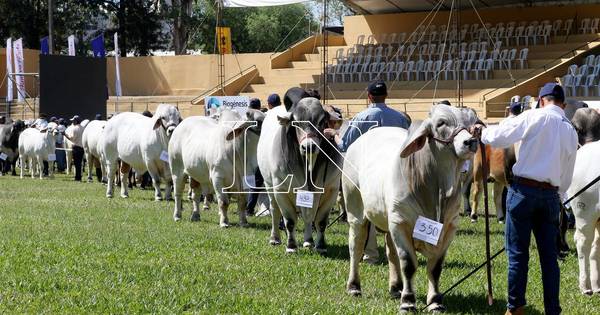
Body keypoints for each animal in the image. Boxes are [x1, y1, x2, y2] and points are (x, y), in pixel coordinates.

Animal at [258, 89, 342, 254]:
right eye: (295, 122)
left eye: (322, 121)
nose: (308, 146)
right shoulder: (281, 190)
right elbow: (290, 221)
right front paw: (291, 246)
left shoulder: (331, 190)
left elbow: (320, 221)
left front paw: (320, 246)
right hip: (269, 186)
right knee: (275, 211)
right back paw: (275, 238)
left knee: (307, 216)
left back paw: (308, 241)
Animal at [342, 105, 478, 312]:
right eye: (441, 123)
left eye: (470, 123)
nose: (470, 141)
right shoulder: (401, 223)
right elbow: (408, 264)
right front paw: (407, 301)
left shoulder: (449, 228)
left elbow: (435, 267)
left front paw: (435, 301)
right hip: (356, 211)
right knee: (355, 247)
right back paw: (354, 287)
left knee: (391, 252)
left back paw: (395, 287)